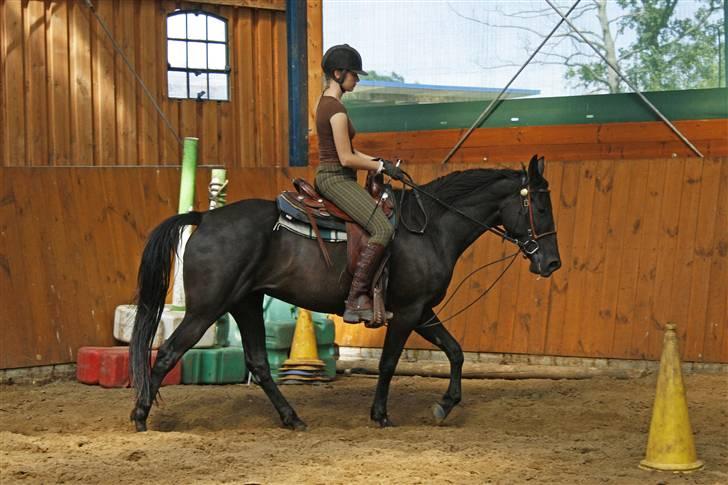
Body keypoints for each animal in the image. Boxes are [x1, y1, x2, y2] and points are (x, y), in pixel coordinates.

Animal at [131, 156, 560, 432]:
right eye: (540, 205)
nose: (552, 263)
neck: (431, 229)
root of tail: (204, 217)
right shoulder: (408, 313)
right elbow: (389, 363)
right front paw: (381, 415)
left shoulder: (423, 312)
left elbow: (455, 352)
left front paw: (444, 405)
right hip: (205, 310)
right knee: (167, 353)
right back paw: (140, 415)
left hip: (245, 304)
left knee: (259, 363)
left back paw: (292, 418)